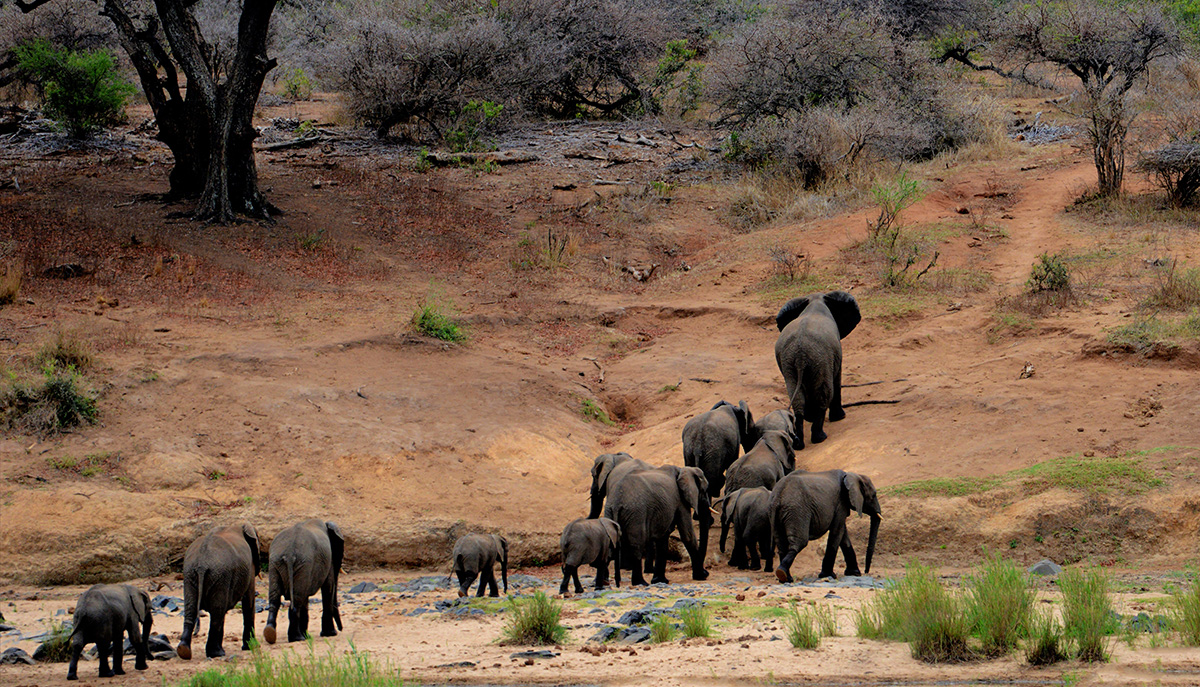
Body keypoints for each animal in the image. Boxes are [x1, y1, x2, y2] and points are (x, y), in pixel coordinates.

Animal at [177, 522, 260, 660]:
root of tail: (201, 564)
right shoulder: (250, 567)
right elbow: (249, 602)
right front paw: (251, 647)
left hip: (190, 574)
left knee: (192, 609)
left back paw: (184, 650)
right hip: (220, 575)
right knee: (217, 612)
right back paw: (217, 653)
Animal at [774, 291, 861, 447]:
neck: (815, 300)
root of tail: (800, 353)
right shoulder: (835, 353)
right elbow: (837, 379)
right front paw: (840, 417)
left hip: (790, 362)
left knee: (797, 397)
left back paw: (798, 443)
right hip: (820, 358)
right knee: (824, 393)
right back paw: (820, 438)